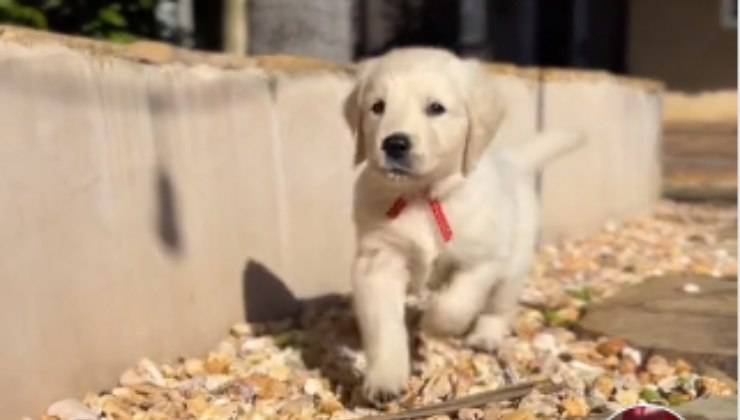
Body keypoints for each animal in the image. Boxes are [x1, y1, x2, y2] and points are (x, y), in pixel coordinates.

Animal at [346, 47, 584, 402]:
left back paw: (485, 336)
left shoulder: (483, 259)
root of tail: (513, 161)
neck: (421, 195)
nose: (394, 143)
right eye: (377, 106)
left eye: (435, 108)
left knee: (498, 306)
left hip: (513, 267)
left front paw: (434, 326)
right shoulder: (379, 261)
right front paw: (384, 380)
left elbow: (456, 303)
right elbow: (383, 325)